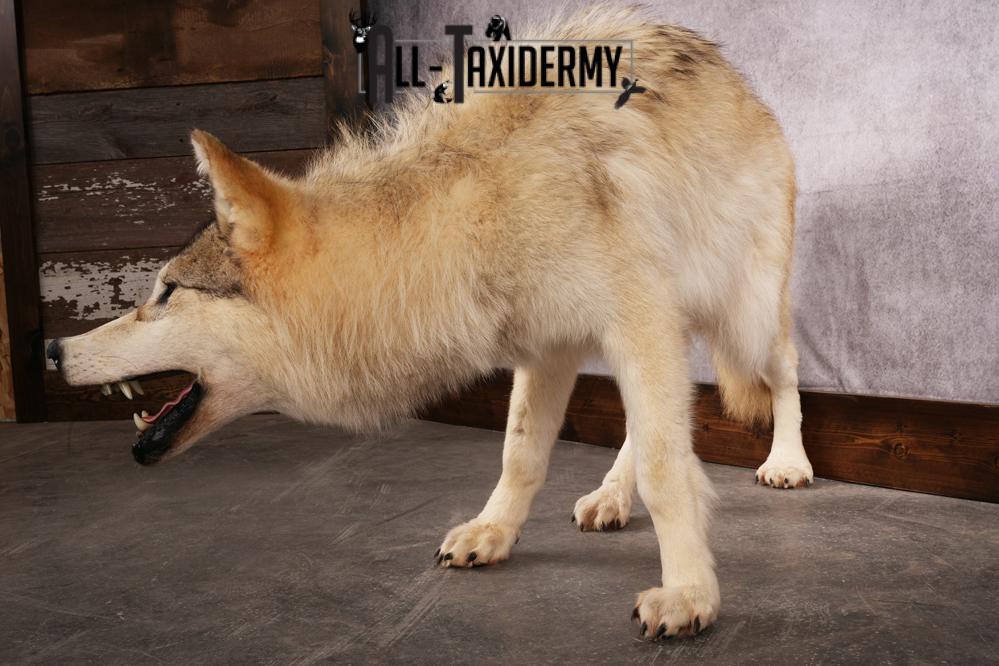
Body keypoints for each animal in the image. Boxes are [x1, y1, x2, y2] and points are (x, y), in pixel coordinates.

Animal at [48, 5, 813, 640]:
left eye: (167, 291)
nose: (53, 347)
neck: (466, 215)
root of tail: (736, 77)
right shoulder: (551, 347)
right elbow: (522, 452)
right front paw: (493, 532)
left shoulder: (635, 323)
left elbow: (664, 466)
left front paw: (688, 595)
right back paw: (608, 498)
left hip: (743, 318)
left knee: (782, 374)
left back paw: (786, 464)